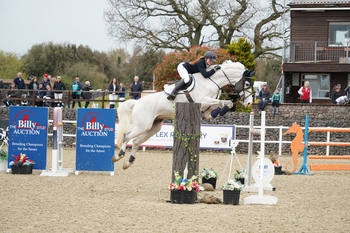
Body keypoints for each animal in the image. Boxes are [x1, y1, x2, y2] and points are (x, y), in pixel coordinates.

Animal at [113, 60, 253, 169]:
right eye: (247, 84)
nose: (249, 103)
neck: (213, 81)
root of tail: (136, 102)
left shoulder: (208, 103)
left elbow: (223, 103)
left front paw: (213, 114)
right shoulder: (202, 101)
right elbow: (222, 102)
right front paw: (218, 111)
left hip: (152, 127)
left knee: (136, 142)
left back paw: (128, 162)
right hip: (143, 125)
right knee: (126, 136)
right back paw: (119, 155)